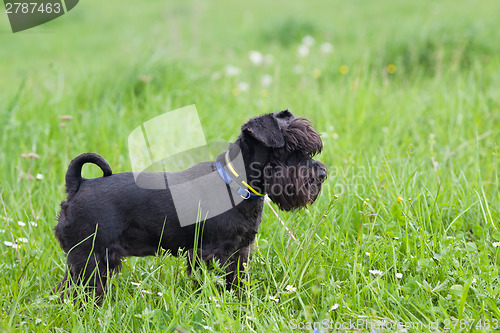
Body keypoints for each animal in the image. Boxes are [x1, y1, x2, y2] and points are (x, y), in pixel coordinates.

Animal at [54, 109, 326, 298]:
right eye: (287, 148)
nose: (321, 173)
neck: (233, 183)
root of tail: (79, 184)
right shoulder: (211, 253)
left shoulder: (239, 252)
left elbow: (236, 283)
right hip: (89, 258)